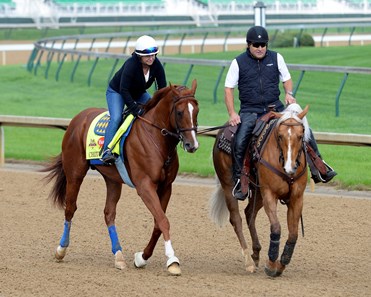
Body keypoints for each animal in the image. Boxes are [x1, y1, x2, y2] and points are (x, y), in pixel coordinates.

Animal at [41, 79, 201, 276]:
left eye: (196, 110)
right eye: (179, 112)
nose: (192, 144)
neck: (156, 138)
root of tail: (78, 118)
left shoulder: (166, 187)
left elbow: (158, 222)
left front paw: (142, 257)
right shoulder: (145, 186)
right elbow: (163, 220)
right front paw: (172, 260)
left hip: (113, 180)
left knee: (109, 213)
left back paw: (118, 255)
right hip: (75, 174)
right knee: (70, 208)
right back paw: (61, 250)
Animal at [211, 103, 310, 276]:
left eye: (300, 135)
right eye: (280, 136)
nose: (290, 167)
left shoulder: (297, 198)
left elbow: (293, 234)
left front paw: (281, 264)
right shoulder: (269, 193)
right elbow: (276, 227)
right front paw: (271, 264)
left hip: (257, 193)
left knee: (249, 213)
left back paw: (256, 253)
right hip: (229, 186)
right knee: (236, 219)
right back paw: (249, 262)